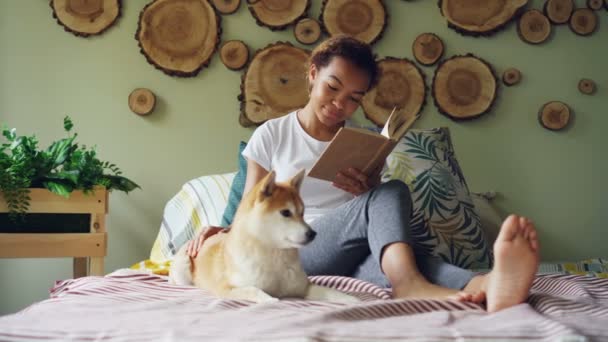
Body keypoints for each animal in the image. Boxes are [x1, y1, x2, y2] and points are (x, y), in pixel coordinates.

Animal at [170, 170, 360, 304]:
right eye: (286, 213)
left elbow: (332, 292)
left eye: (302, 213)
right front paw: (270, 299)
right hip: (183, 269)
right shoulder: (226, 287)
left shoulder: (304, 287)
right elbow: (253, 290)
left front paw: (351, 299)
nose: (313, 234)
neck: (275, 256)